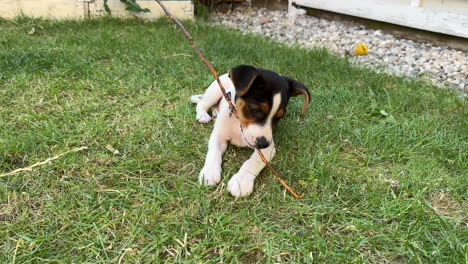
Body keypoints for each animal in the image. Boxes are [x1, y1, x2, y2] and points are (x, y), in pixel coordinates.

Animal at [192, 64, 308, 196]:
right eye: (255, 109)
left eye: (280, 116)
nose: (263, 144)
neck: (238, 124)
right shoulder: (218, 137)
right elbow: (213, 152)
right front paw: (210, 172)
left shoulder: (269, 148)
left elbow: (253, 162)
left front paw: (241, 182)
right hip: (214, 91)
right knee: (202, 104)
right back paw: (203, 115)